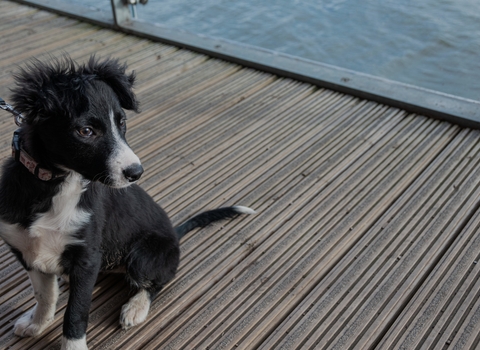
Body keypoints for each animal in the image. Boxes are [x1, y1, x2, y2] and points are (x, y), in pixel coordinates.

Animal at [0, 56, 255, 348]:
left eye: (122, 123)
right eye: (86, 131)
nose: (136, 173)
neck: (51, 186)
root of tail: (175, 234)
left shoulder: (87, 258)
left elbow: (76, 312)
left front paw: (72, 344)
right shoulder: (27, 250)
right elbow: (44, 295)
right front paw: (38, 323)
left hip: (143, 255)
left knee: (157, 282)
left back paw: (136, 307)